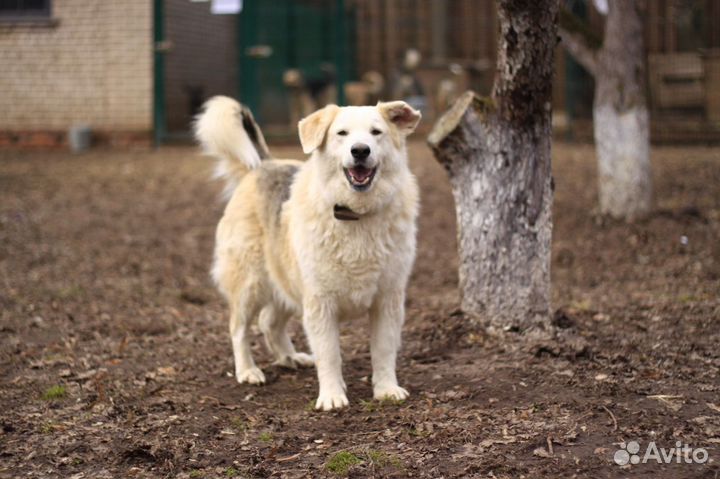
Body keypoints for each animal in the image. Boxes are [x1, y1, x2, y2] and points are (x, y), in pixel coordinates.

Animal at [195, 95, 422, 410]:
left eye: (376, 132)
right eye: (342, 134)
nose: (360, 150)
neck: (356, 215)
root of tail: (263, 165)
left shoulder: (387, 301)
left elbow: (384, 351)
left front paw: (386, 389)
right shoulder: (320, 303)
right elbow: (329, 355)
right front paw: (332, 395)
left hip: (286, 283)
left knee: (269, 322)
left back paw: (289, 357)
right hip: (250, 284)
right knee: (238, 329)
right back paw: (248, 370)